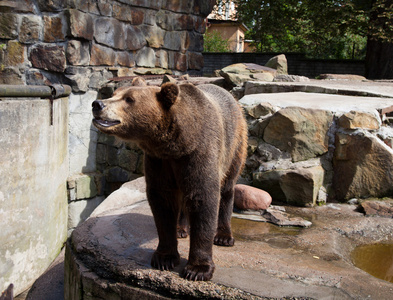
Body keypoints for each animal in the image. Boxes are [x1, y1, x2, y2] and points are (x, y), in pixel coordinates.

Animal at [91, 77, 245, 282]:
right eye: (115, 93)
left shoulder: (200, 152)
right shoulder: (159, 160)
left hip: (235, 143)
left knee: (227, 186)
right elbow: (162, 201)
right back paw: (180, 228)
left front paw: (198, 269)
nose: (97, 104)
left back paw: (223, 235)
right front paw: (164, 258)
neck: (176, 144)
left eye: (129, 99)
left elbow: (203, 198)